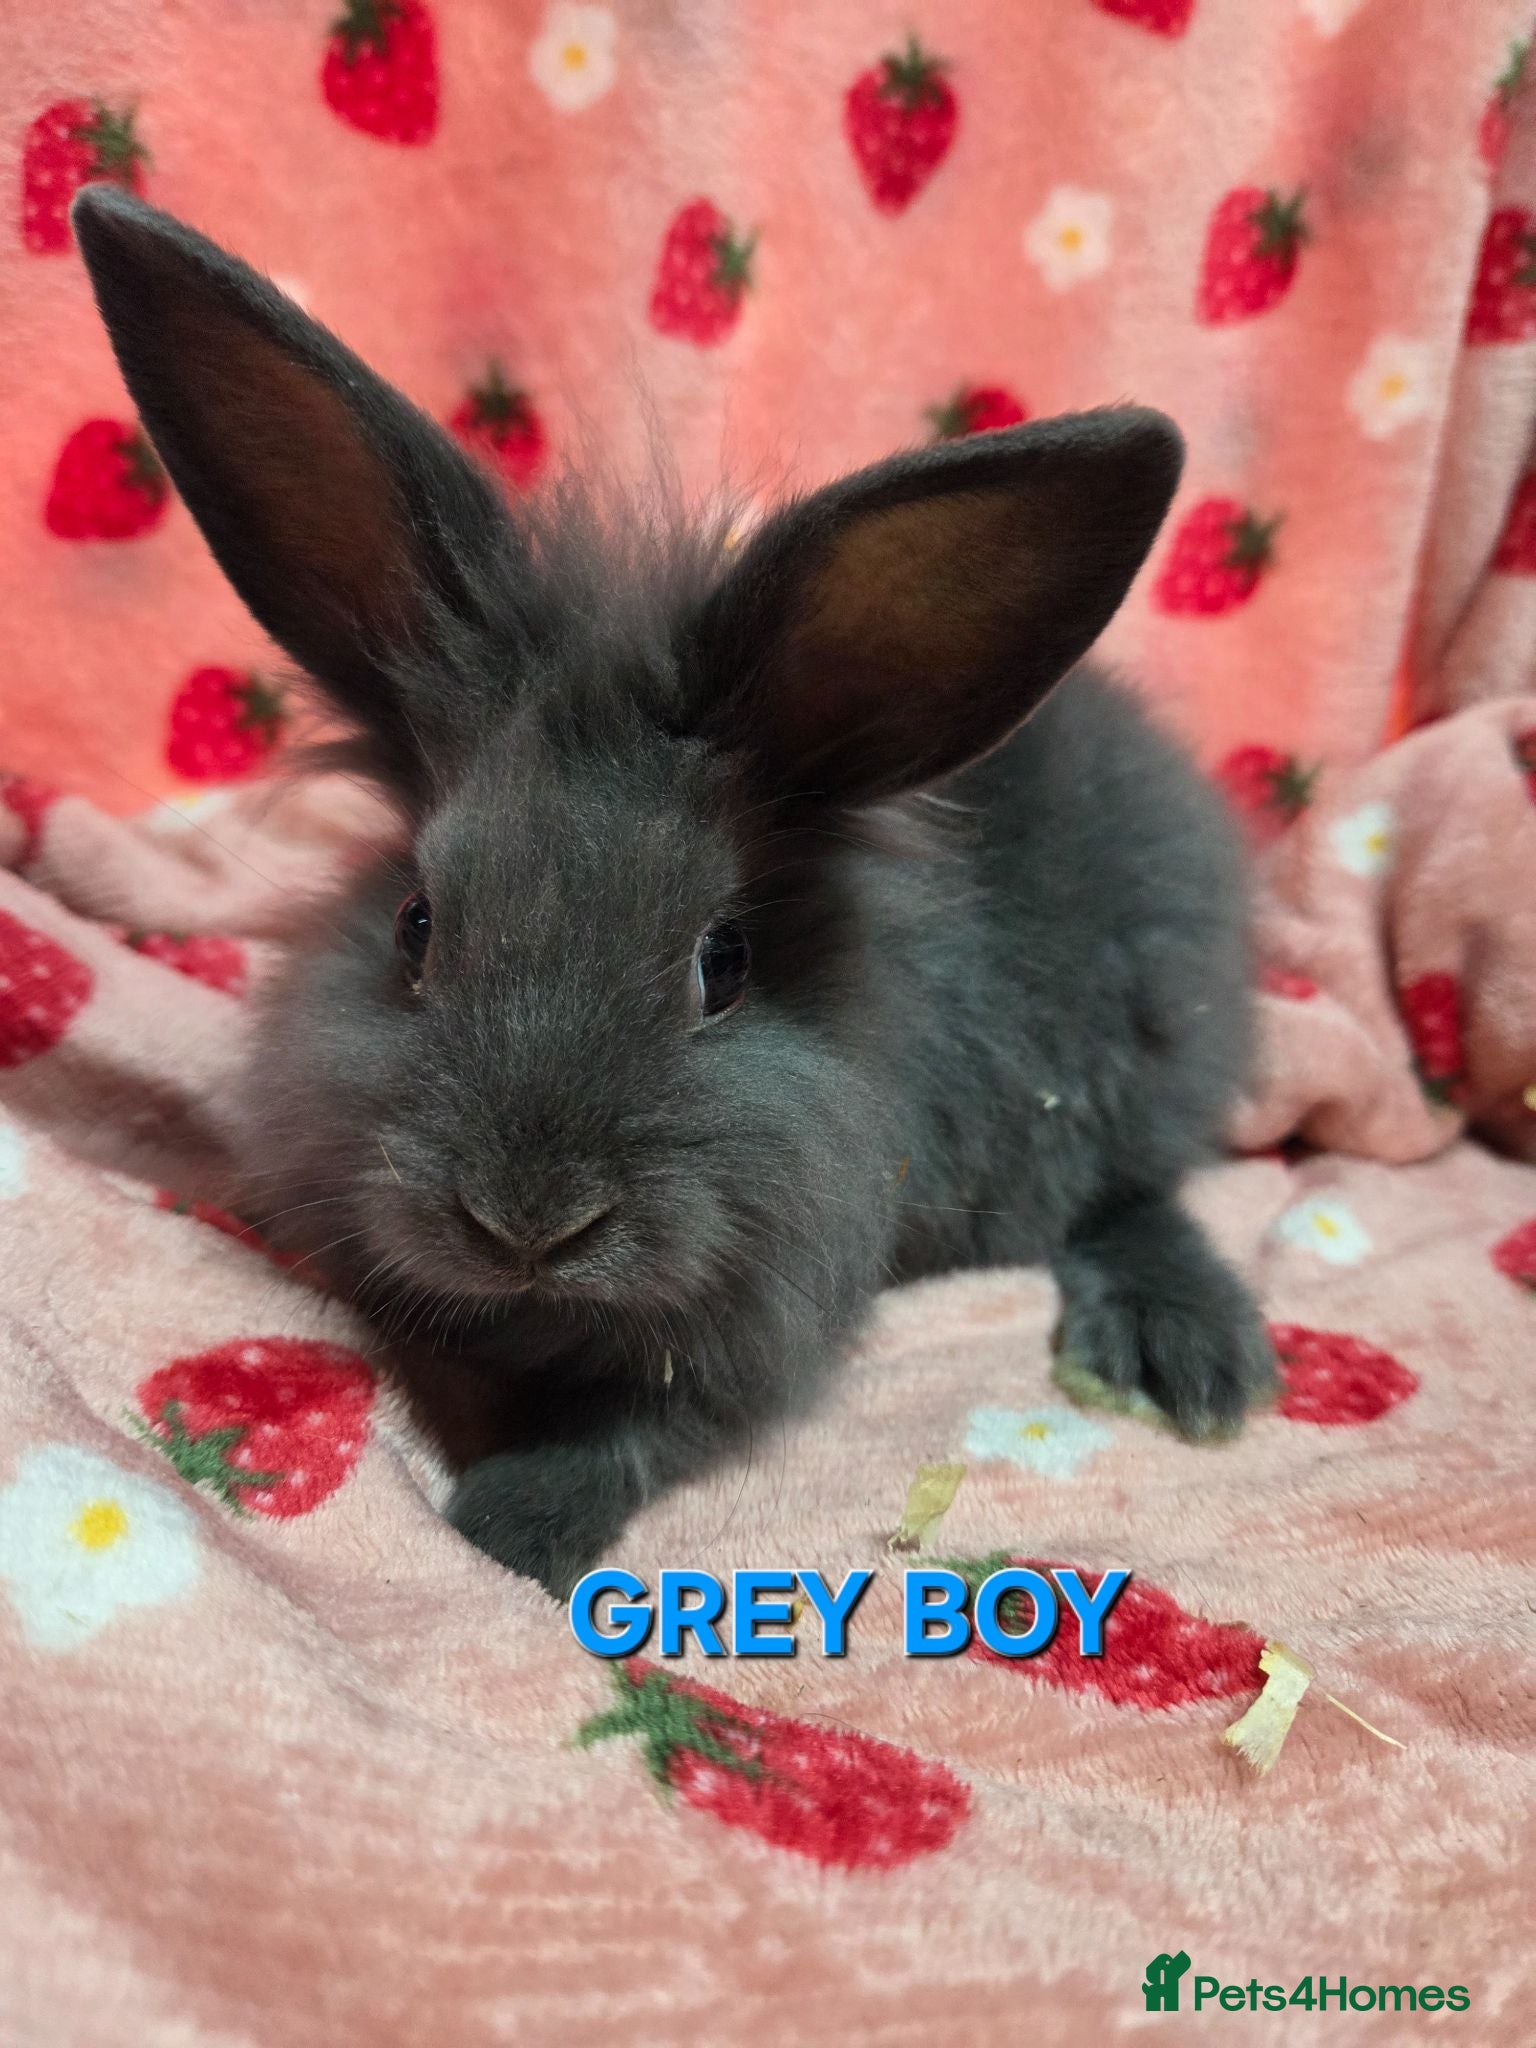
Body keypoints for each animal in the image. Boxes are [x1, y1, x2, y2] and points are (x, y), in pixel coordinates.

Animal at [74, 187, 1275, 1598]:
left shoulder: (760, 1316)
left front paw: (507, 1528)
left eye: (724, 963)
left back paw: (1183, 1351)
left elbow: (642, 1429)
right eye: (418, 924)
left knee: (1137, 1195)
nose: (526, 1222)